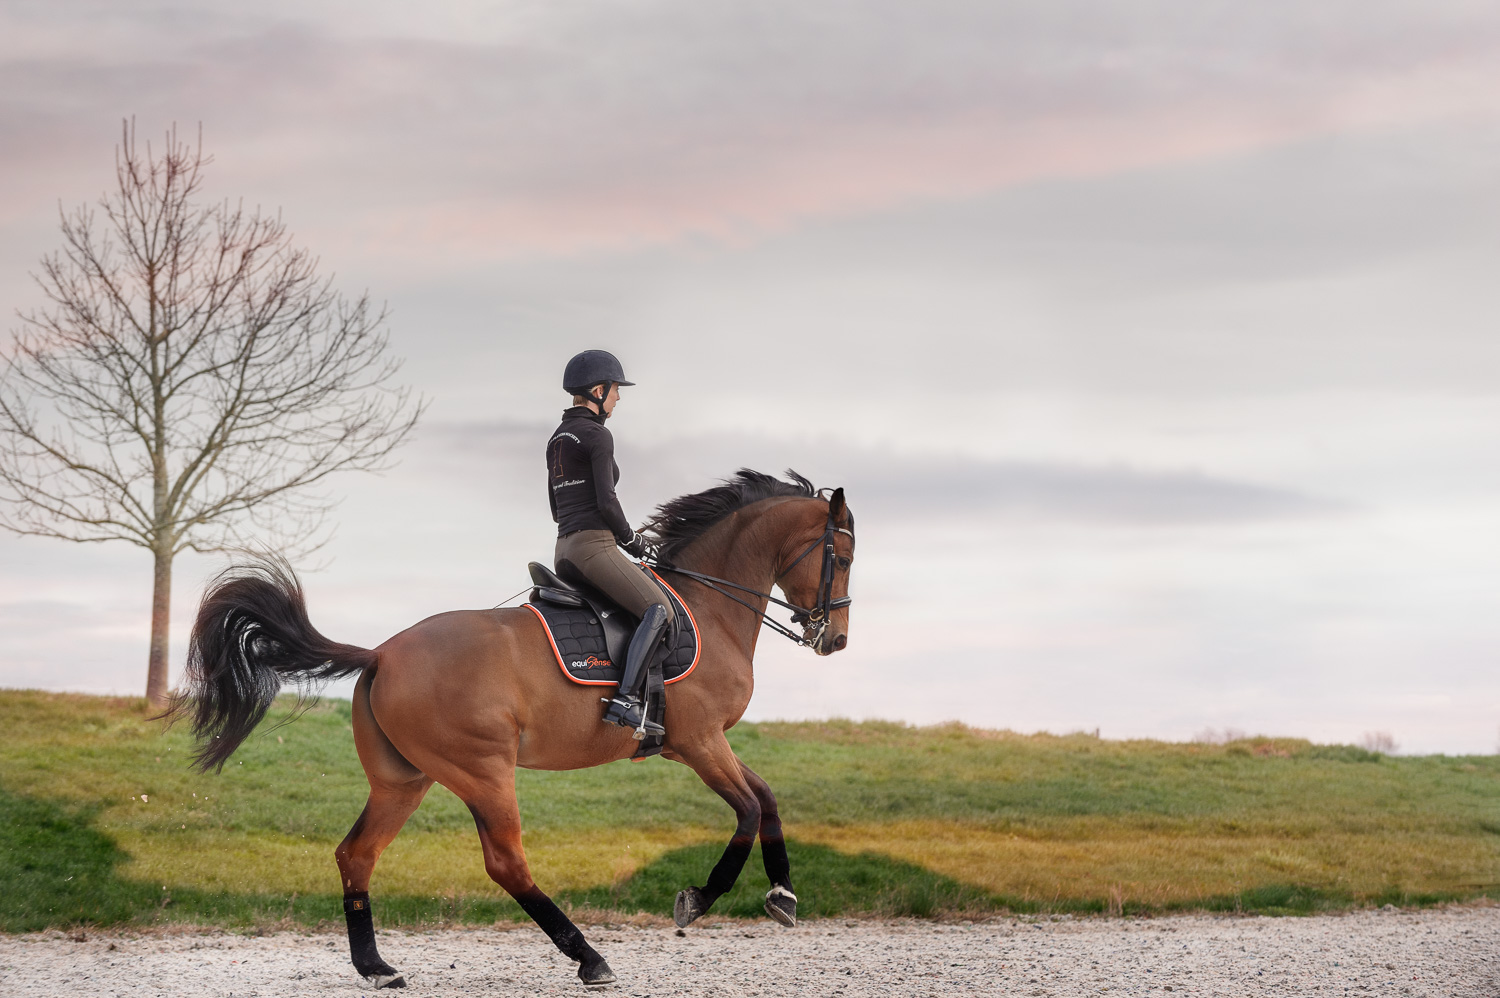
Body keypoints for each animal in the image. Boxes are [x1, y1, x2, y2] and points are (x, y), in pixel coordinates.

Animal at [168, 471, 852, 984]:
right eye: (841, 556)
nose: (835, 640)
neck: (708, 606)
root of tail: (382, 653)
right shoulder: (700, 741)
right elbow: (746, 810)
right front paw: (698, 901)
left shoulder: (698, 745)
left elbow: (766, 799)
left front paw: (783, 896)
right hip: (483, 772)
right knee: (506, 864)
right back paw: (588, 957)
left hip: (404, 780)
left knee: (356, 853)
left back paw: (377, 967)